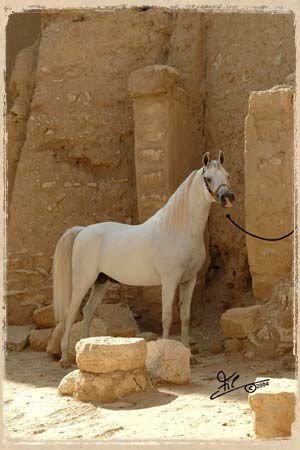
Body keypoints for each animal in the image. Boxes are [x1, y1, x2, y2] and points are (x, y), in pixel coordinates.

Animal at [52, 151, 234, 366]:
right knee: (72, 313)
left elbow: (185, 317)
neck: (179, 230)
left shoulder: (189, 281)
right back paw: (65, 357)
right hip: (83, 281)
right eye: (208, 178)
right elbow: (167, 318)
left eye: (227, 175)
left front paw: (189, 356)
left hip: (101, 282)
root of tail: (82, 231)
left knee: (87, 311)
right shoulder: (169, 281)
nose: (228, 197)